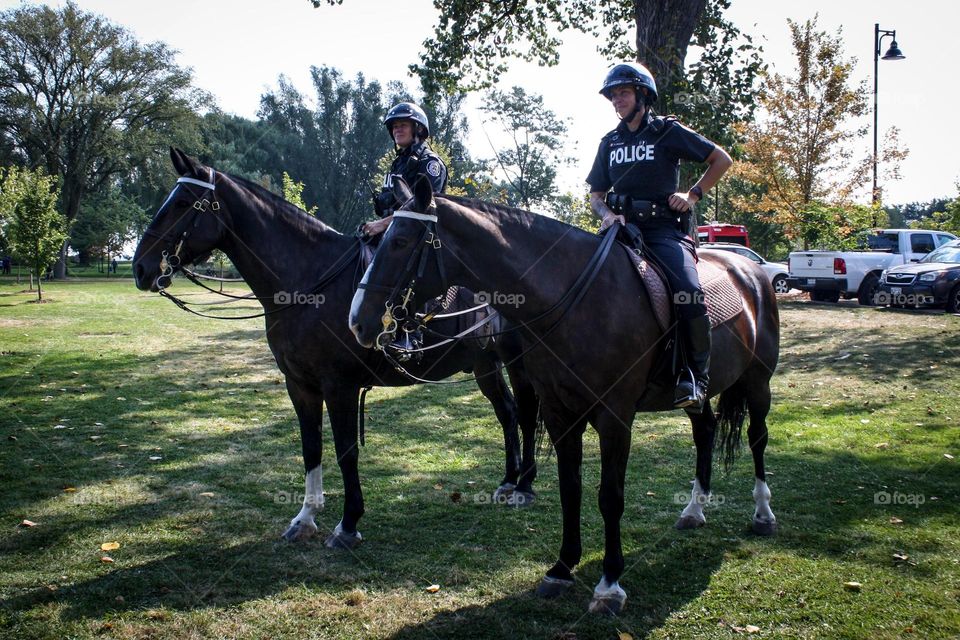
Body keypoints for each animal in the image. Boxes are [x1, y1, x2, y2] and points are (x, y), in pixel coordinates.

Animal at [132, 149, 540, 544]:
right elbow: (311, 447)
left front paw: (348, 524)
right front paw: (305, 518)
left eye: (183, 202)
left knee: (526, 412)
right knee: (506, 412)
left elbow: (346, 452)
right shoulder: (300, 385)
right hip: (484, 365)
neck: (310, 283)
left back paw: (525, 485)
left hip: (518, 362)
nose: (140, 268)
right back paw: (508, 480)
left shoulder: (340, 386)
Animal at [348, 179, 776, 616]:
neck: (577, 301)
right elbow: (570, 488)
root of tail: (750, 270)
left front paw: (609, 583)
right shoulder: (559, 412)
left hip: (758, 383)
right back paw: (694, 509)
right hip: (697, 396)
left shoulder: (614, 417)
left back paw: (763, 513)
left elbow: (610, 496)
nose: (358, 322)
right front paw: (562, 567)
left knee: (757, 438)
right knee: (705, 430)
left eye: (400, 241)